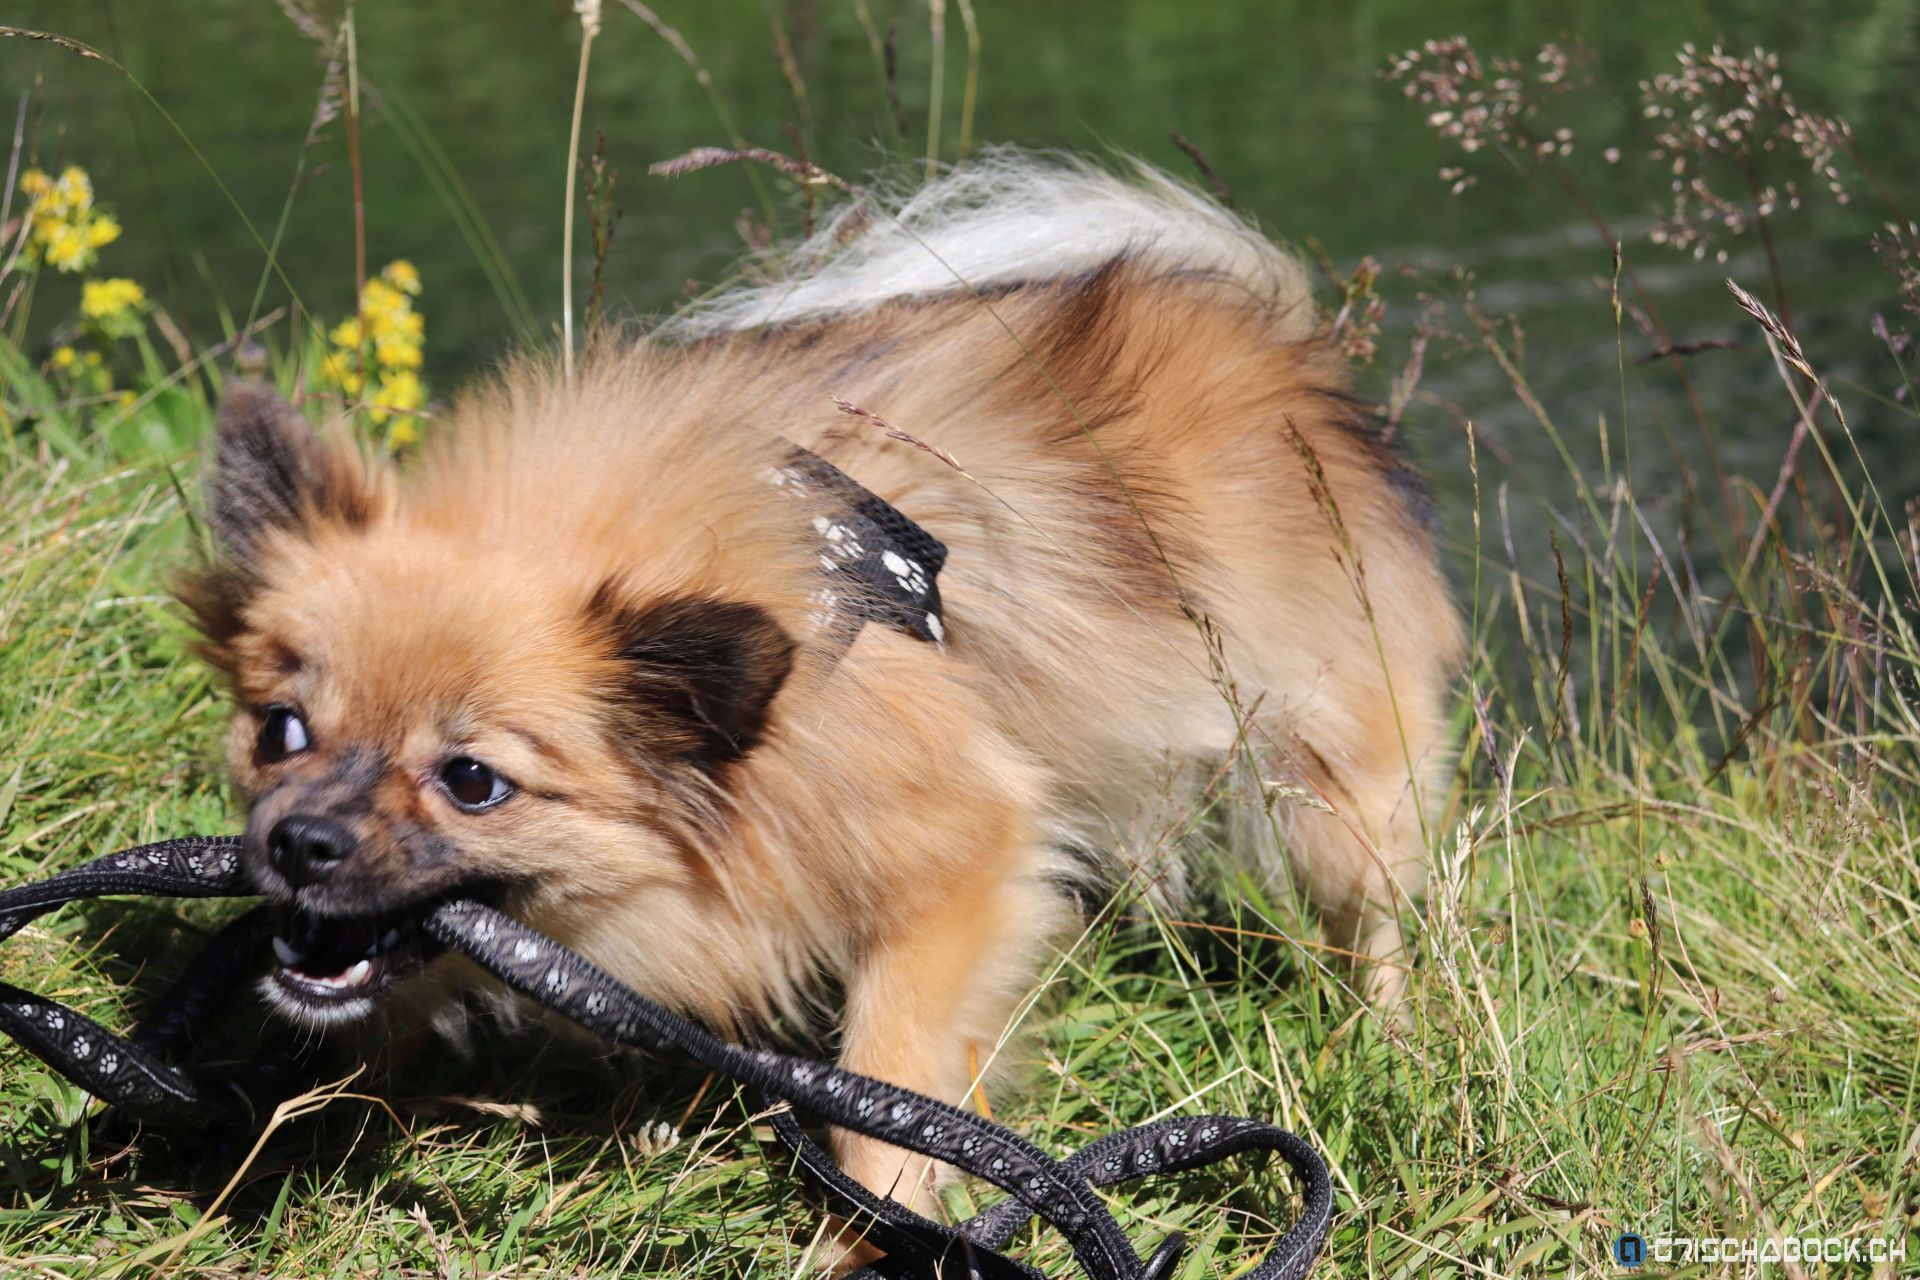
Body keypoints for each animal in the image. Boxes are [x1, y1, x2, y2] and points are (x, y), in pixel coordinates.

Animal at [183, 157, 1451, 1212]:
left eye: (473, 780)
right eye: (280, 729)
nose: (298, 841)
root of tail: (1274, 335)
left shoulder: (965, 856)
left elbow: (886, 1074)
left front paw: (888, 1219)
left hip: (1326, 772)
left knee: (1372, 912)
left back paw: (1384, 1042)